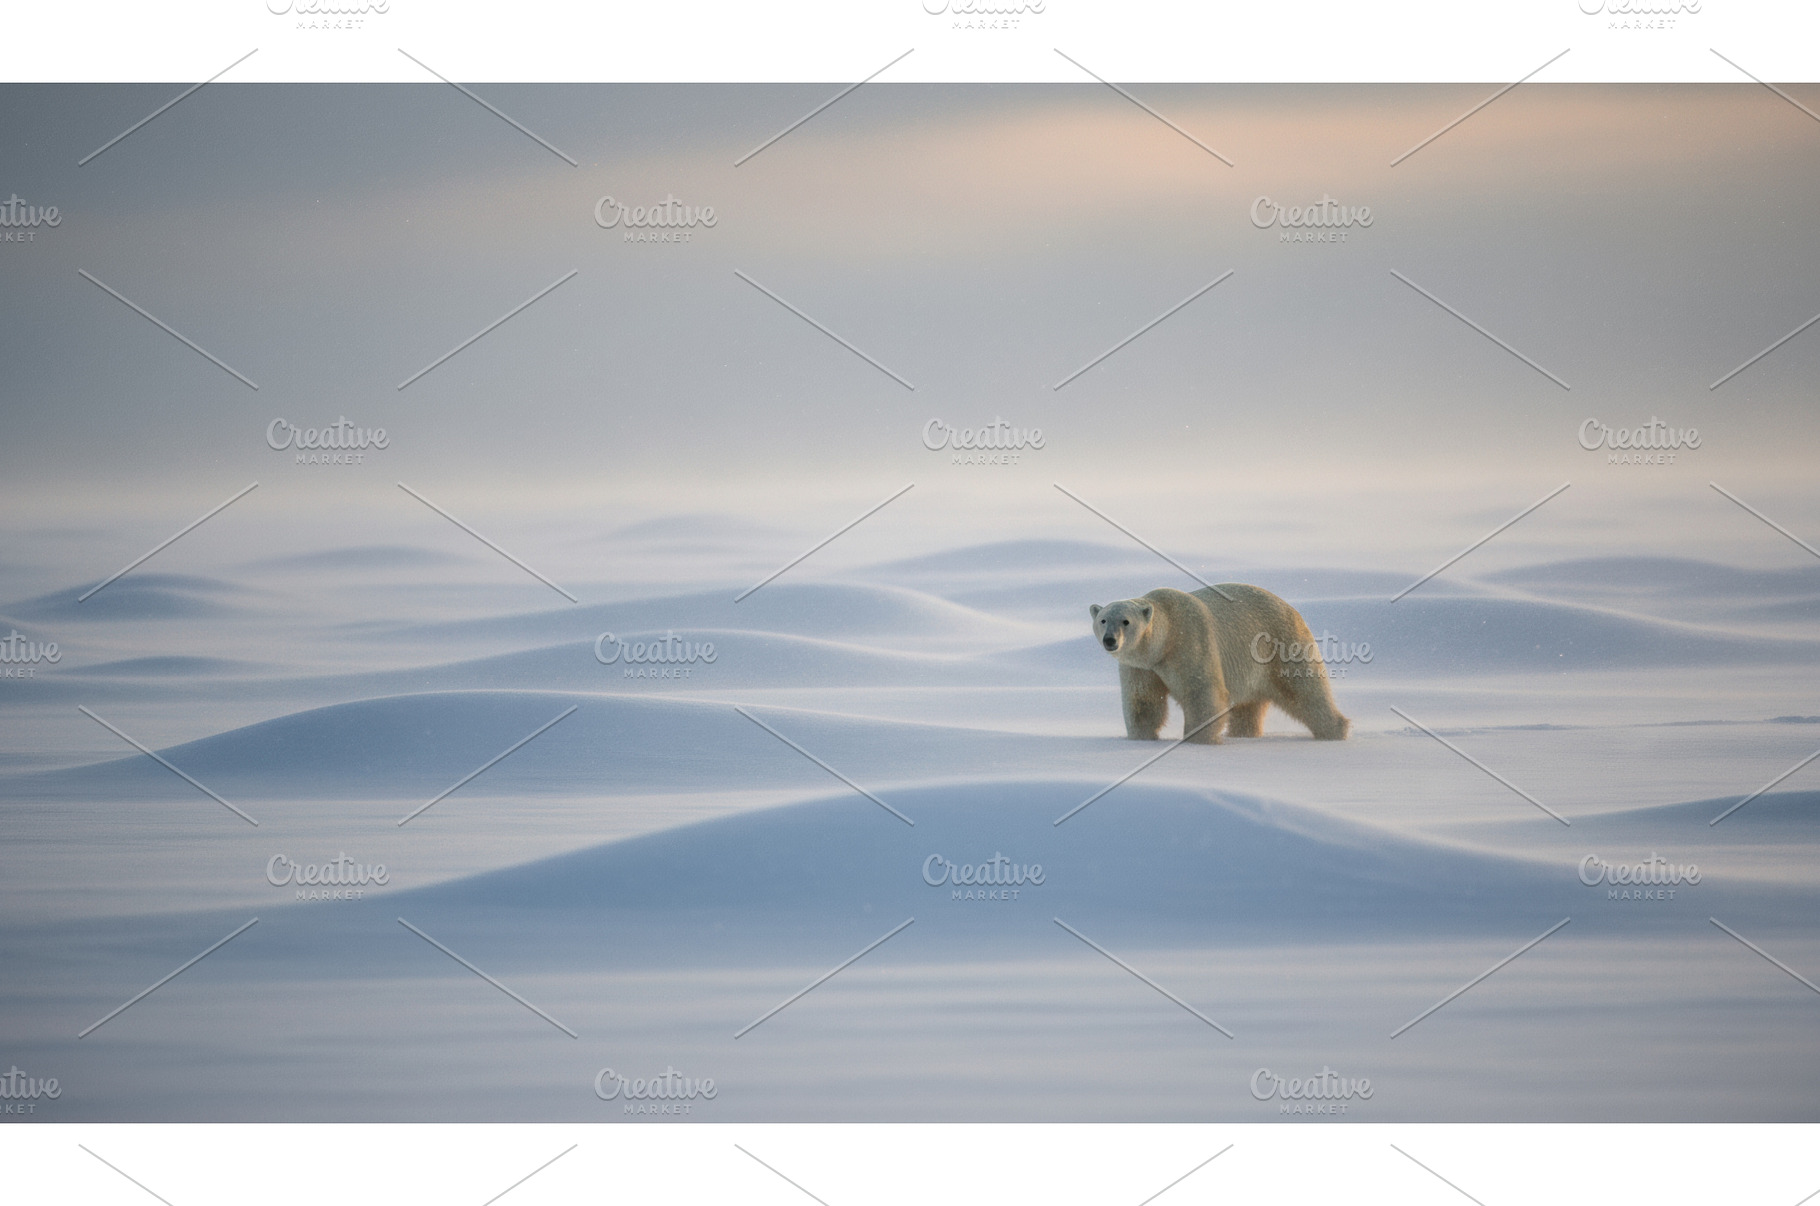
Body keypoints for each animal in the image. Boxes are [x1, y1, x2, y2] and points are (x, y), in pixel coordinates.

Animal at [1089, 584, 1350, 744]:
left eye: (1125, 621)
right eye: (1103, 620)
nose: (1110, 640)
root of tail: (1293, 610)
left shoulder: (1190, 641)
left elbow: (1203, 693)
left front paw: (1197, 739)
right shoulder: (1141, 666)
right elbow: (1143, 700)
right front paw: (1143, 736)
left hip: (1281, 644)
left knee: (1306, 692)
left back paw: (1335, 730)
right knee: (1249, 707)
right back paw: (1243, 734)